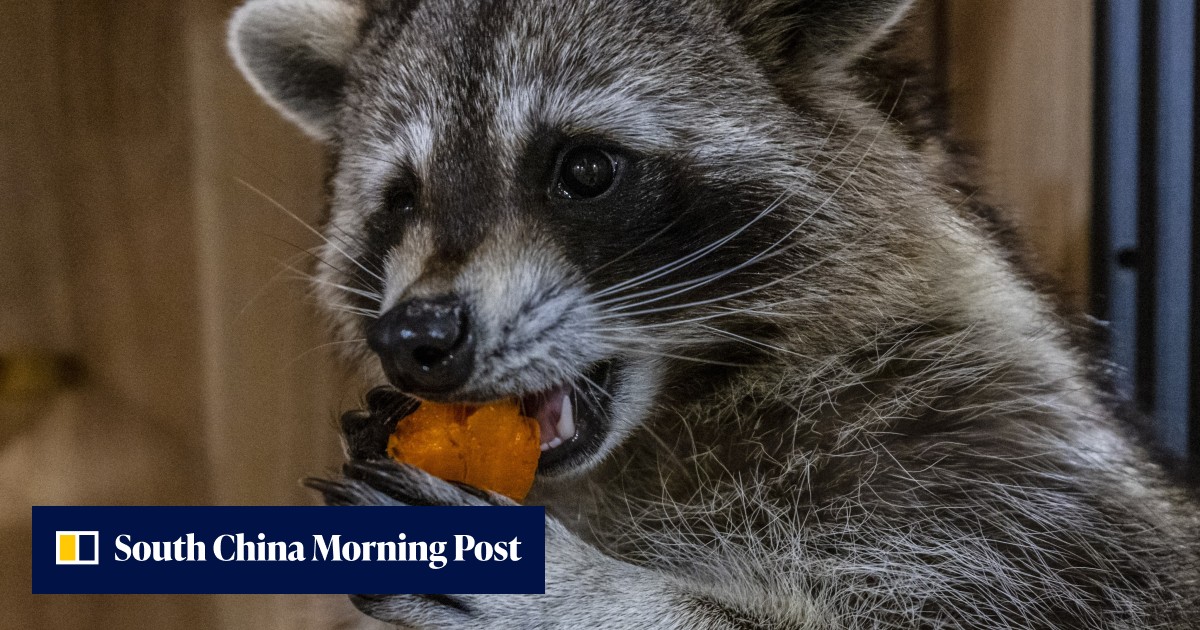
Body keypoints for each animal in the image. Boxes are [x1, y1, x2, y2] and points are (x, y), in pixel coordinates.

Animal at [228, 0, 1200, 627]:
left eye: (584, 170)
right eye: (401, 201)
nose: (415, 337)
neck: (677, 415)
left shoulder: (1005, 489)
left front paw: (592, 591)